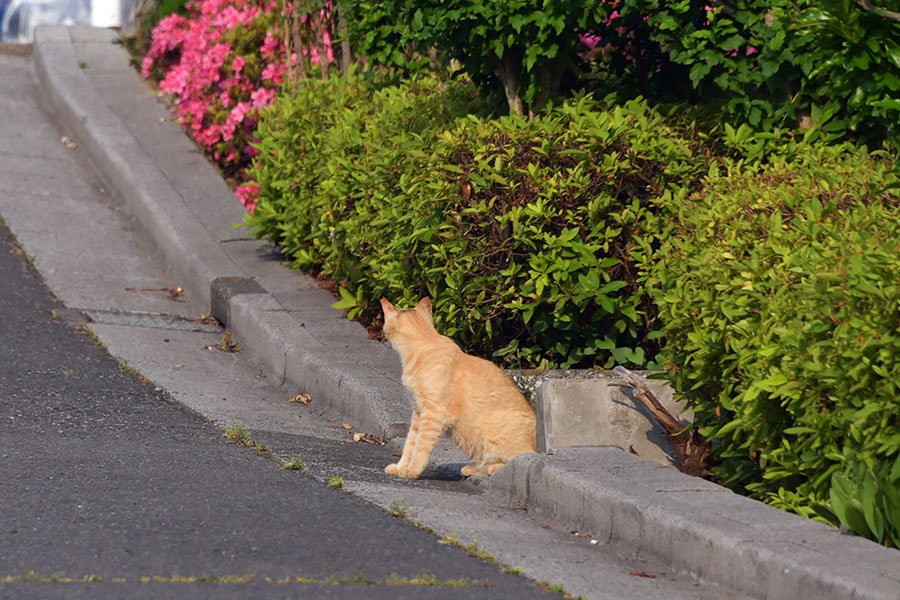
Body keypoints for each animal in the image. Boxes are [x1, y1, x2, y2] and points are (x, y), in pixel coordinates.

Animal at [378, 298, 536, 480]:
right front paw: (400, 466)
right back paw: (473, 468)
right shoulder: (417, 413)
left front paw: (412, 470)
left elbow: (420, 446)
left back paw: (493, 468)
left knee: (521, 456)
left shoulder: (433, 414)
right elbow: (410, 444)